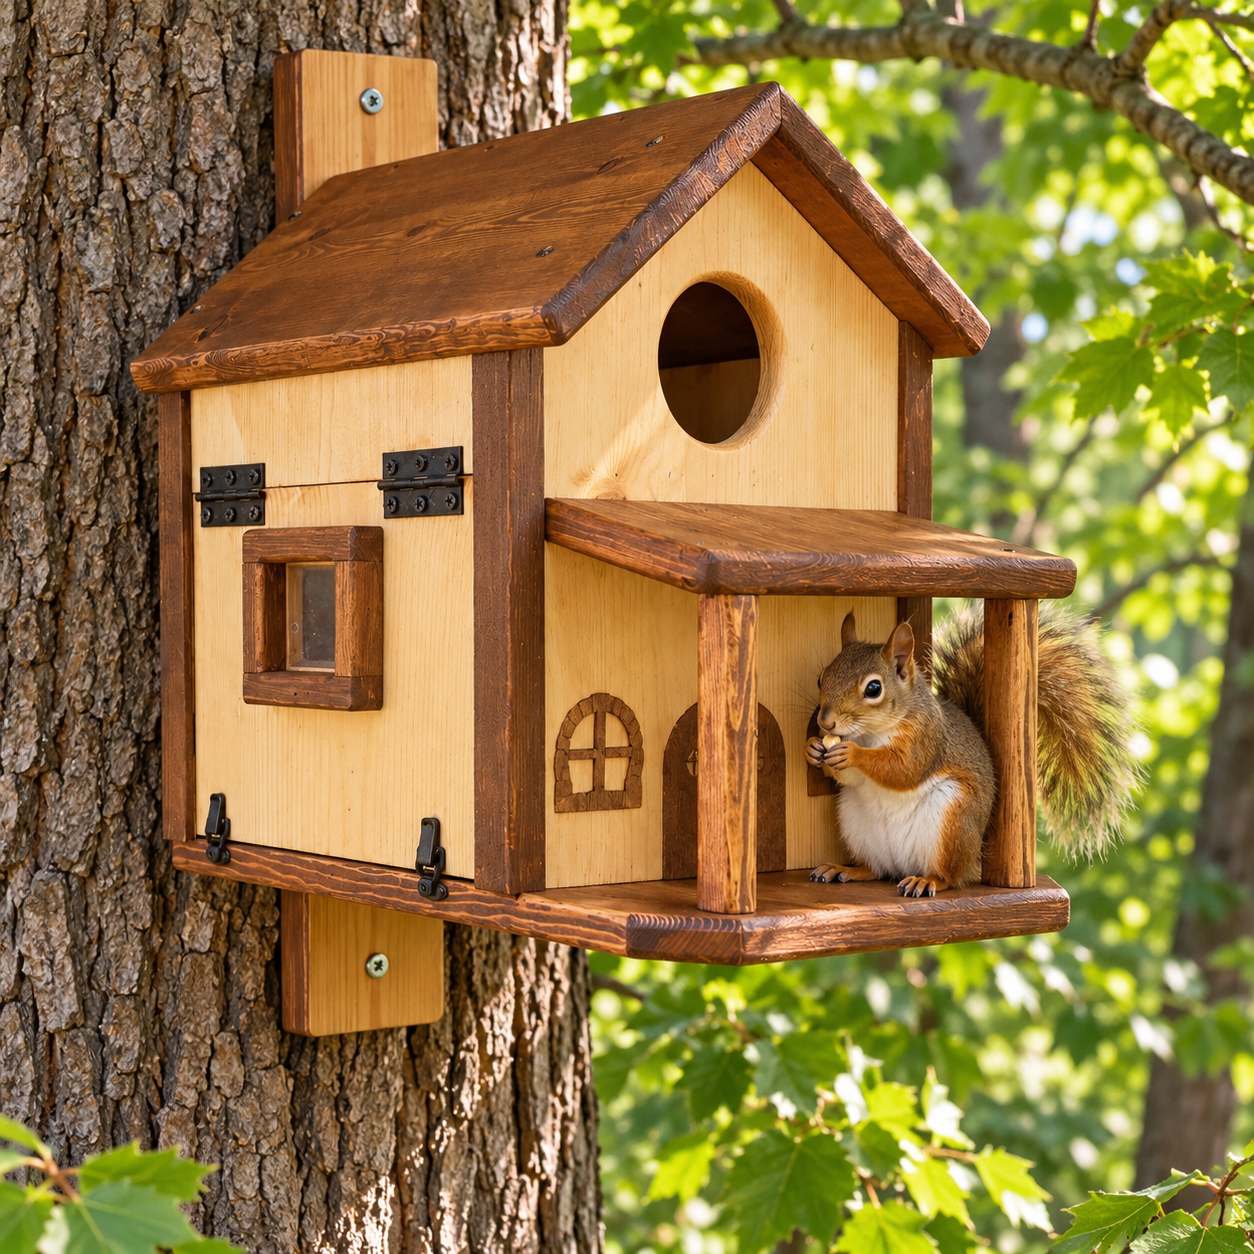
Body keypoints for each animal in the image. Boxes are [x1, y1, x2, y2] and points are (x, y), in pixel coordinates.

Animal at [805, 606, 1141, 898]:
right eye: (821, 678)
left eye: (873, 689)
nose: (825, 722)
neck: (871, 733)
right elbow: (851, 778)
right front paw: (812, 748)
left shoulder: (927, 738)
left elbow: (904, 770)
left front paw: (852, 754)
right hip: (855, 822)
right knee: (878, 870)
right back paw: (847, 869)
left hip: (954, 820)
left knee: (949, 877)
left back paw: (927, 881)